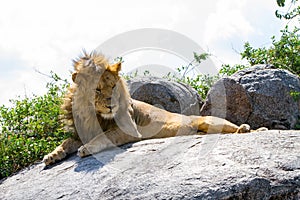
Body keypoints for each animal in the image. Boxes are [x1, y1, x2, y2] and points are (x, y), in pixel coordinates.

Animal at [43, 52, 264, 166]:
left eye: (113, 86)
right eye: (97, 89)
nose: (111, 104)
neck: (94, 113)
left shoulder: (130, 129)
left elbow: (104, 136)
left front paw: (87, 148)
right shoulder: (82, 130)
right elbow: (66, 142)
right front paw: (52, 155)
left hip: (211, 121)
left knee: (241, 128)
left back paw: (246, 128)